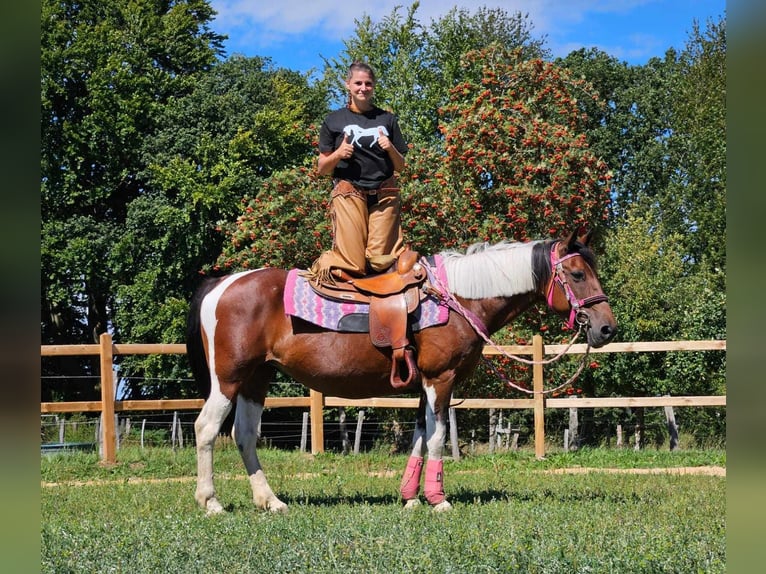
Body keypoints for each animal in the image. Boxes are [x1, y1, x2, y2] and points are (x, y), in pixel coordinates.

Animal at [189, 232, 620, 516]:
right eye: (577, 275)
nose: (606, 329)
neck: (459, 300)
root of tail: (222, 284)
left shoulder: (422, 384)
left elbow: (419, 436)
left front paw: (411, 497)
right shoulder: (440, 379)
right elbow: (438, 436)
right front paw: (438, 499)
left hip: (256, 380)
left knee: (245, 435)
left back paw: (271, 501)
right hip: (229, 379)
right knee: (206, 429)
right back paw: (212, 502)